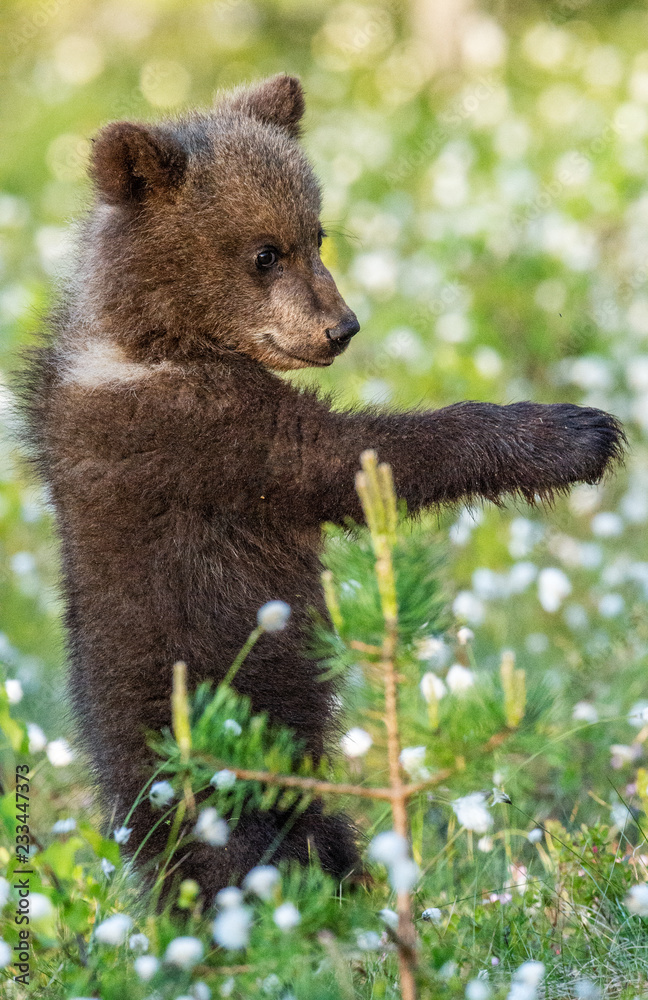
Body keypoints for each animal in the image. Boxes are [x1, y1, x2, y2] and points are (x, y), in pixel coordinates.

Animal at [18, 74, 625, 898]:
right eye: (263, 252)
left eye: (318, 233)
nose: (342, 326)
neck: (152, 340)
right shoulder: (197, 436)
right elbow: (354, 460)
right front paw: (574, 432)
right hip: (215, 763)